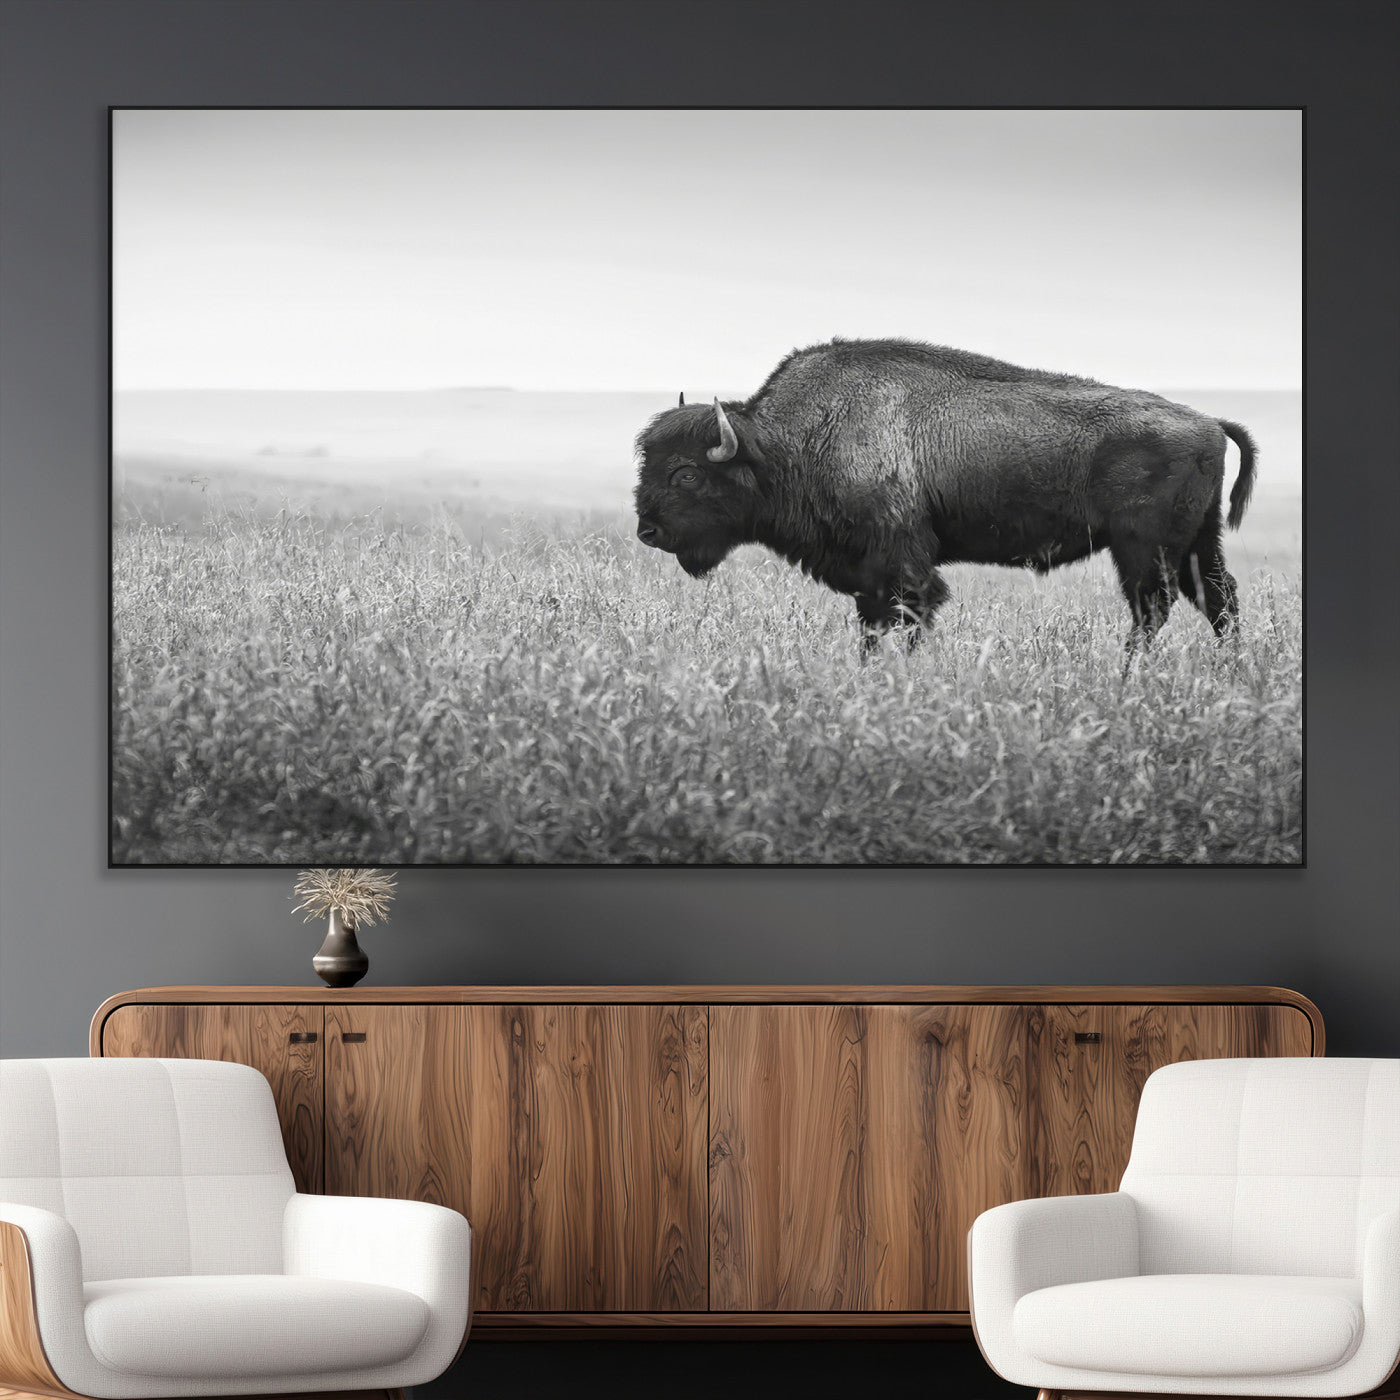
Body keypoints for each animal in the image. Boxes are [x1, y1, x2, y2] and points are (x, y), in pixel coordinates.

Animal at [633, 338, 1256, 651]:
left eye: (686, 474)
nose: (647, 531)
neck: (789, 443)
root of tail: (1208, 421)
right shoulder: (868, 576)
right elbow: (873, 626)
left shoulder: (903, 565)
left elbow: (909, 618)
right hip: (1197, 542)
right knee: (1218, 600)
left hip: (1142, 549)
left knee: (1154, 609)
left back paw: (1128, 677)